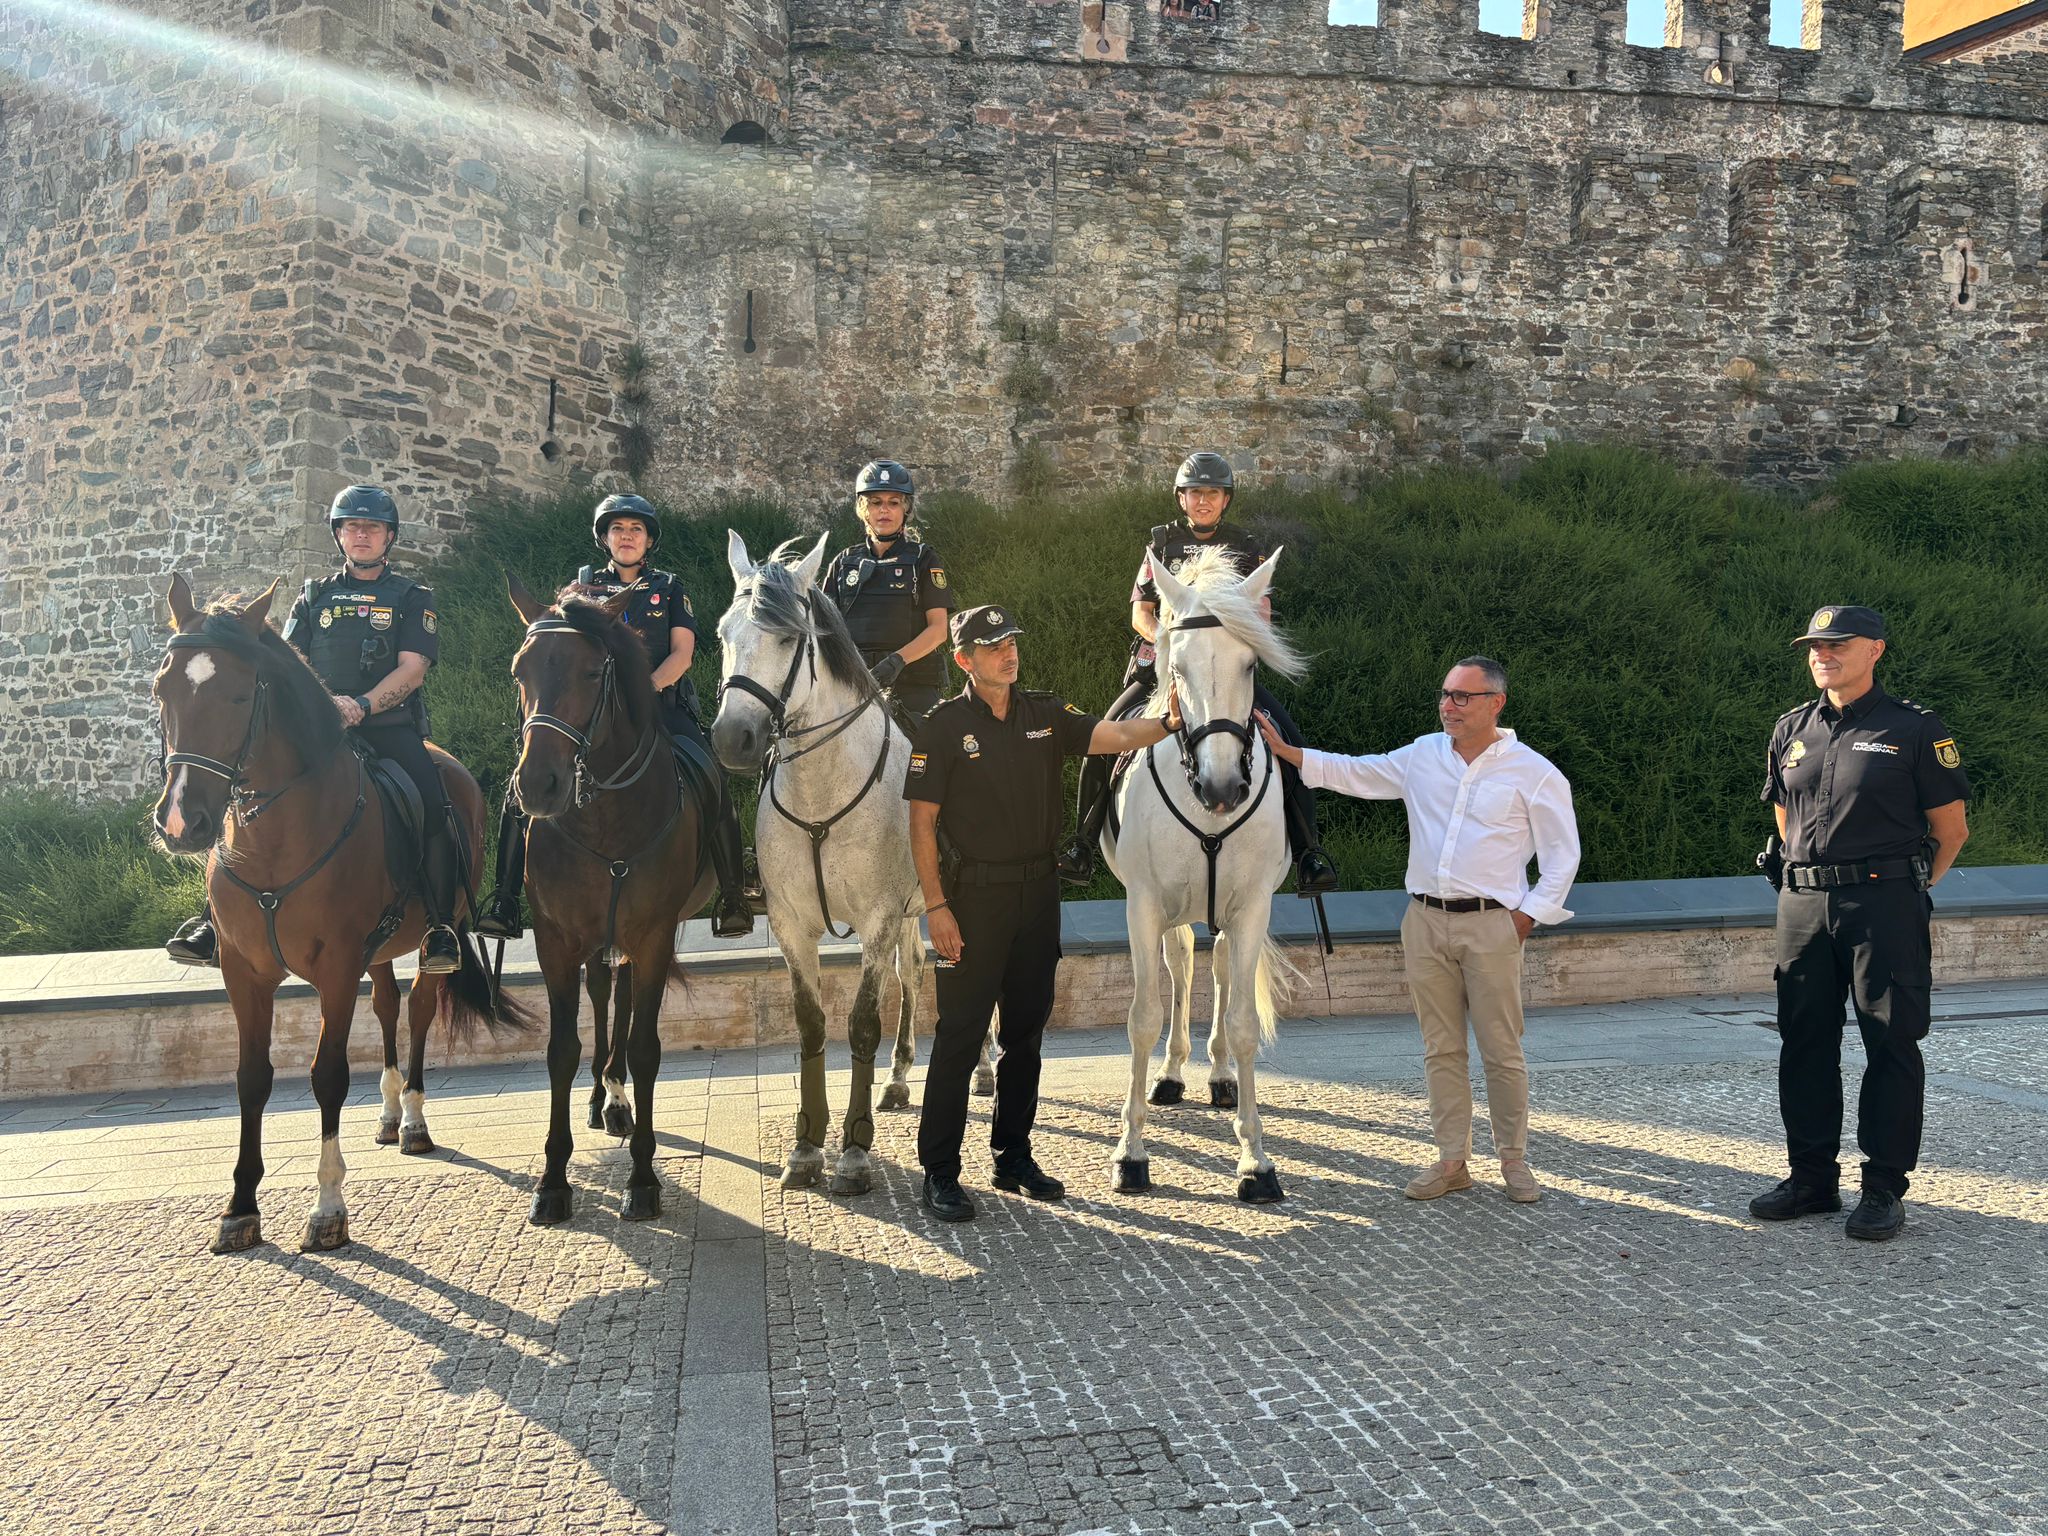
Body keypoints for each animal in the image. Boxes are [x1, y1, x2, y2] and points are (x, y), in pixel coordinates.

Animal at [152, 573, 528, 1253]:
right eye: (161, 689)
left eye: (238, 694)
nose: (181, 822)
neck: (276, 840)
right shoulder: (244, 973)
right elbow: (252, 1077)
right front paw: (240, 1206)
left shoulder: (333, 970)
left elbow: (327, 1076)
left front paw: (327, 1207)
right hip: (375, 953)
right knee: (385, 1006)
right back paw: (387, 1115)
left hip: (427, 942)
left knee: (418, 1012)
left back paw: (413, 1120)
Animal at [503, 577, 712, 1228]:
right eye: (519, 670)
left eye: (594, 671)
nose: (538, 786)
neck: (605, 816)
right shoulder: (555, 939)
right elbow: (561, 1050)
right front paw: (552, 1181)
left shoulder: (654, 934)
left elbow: (644, 1048)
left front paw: (642, 1179)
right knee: (603, 996)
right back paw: (602, 1096)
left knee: (621, 1003)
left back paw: (618, 1098)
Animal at [708, 536, 987, 1196]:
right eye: (723, 633)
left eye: (789, 639)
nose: (733, 738)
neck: (821, 789)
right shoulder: (793, 925)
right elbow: (812, 1025)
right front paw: (807, 1147)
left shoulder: (878, 918)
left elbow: (861, 1024)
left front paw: (856, 1153)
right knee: (914, 973)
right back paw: (900, 1078)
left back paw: (986, 1068)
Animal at [1105, 548, 1294, 1212]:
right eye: (1177, 667)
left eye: (1249, 664)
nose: (1222, 788)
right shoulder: (1140, 905)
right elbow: (1142, 1016)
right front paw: (1131, 1155)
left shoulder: (1253, 906)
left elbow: (1240, 1022)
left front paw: (1255, 1160)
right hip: (1168, 909)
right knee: (1183, 965)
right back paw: (1170, 1075)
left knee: (1215, 969)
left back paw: (1216, 1076)